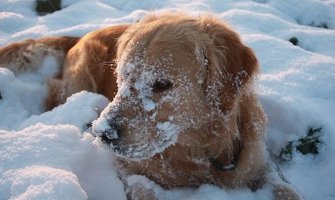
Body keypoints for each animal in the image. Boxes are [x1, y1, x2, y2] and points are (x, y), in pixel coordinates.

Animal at [0, 12, 302, 200]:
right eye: (121, 77)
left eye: (162, 84)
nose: (104, 134)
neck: (199, 152)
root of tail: (81, 34)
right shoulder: (125, 166)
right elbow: (145, 189)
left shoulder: (258, 162)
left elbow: (286, 189)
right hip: (78, 82)